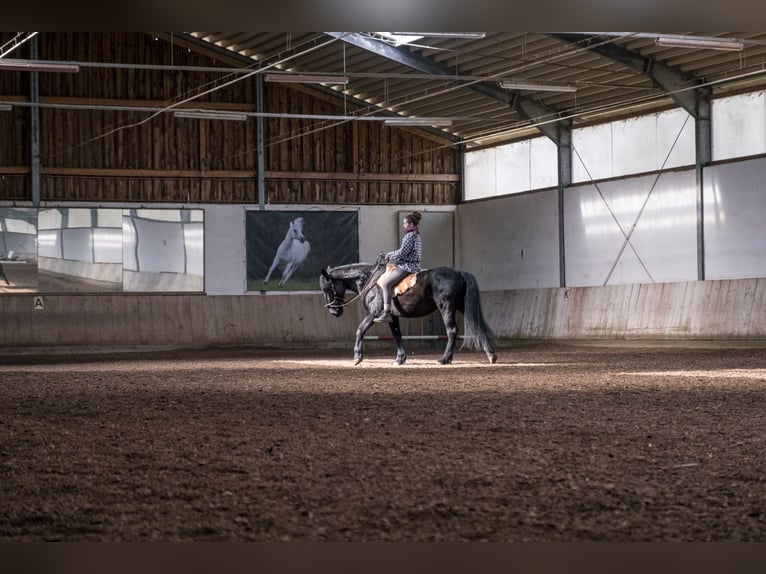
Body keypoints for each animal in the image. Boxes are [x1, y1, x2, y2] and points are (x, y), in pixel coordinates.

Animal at [320, 264, 496, 366]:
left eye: (326, 287)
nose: (334, 311)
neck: (370, 279)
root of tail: (459, 273)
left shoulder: (374, 313)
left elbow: (360, 330)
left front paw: (357, 357)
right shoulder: (392, 316)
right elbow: (397, 335)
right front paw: (400, 359)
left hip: (446, 307)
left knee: (452, 331)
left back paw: (445, 359)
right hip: (461, 306)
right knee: (478, 326)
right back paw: (491, 355)